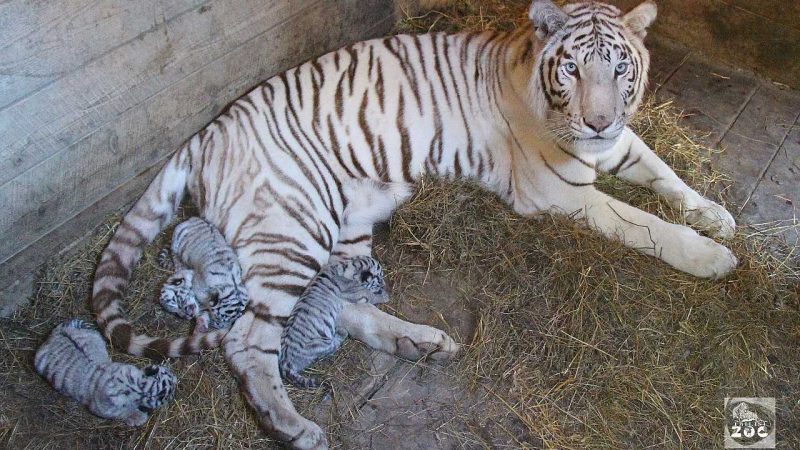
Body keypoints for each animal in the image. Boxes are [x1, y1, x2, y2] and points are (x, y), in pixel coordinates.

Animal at [89, 1, 736, 448]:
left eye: (621, 69)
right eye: (572, 69)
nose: (599, 121)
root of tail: (202, 134)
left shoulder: (620, 145)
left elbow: (666, 173)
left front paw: (717, 215)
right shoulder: (558, 190)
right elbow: (643, 223)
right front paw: (712, 257)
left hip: (340, 223)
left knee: (335, 303)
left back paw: (418, 341)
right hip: (294, 222)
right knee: (248, 339)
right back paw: (292, 426)